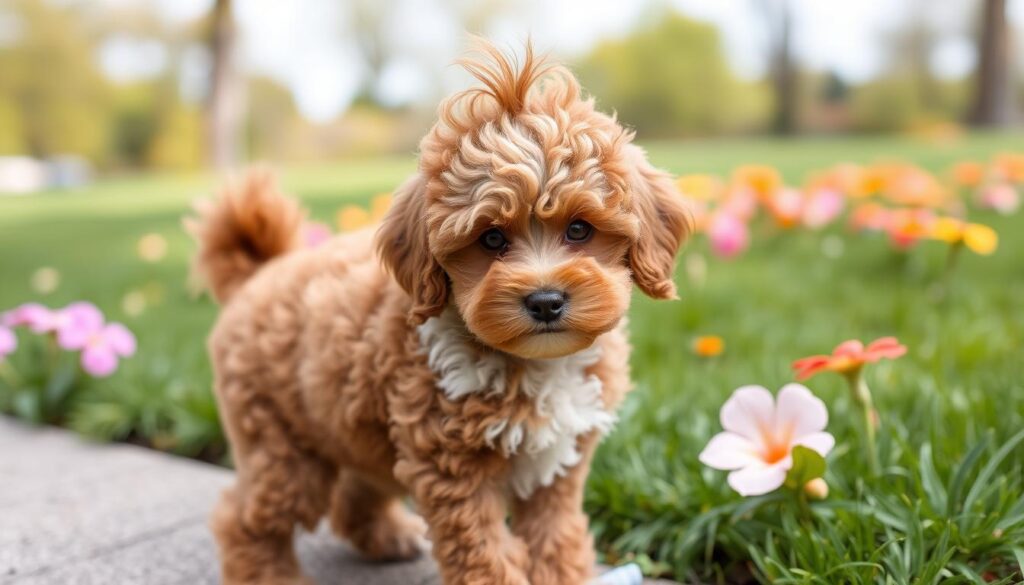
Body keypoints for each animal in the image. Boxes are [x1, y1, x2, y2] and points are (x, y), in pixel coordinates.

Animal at [192, 41, 688, 585]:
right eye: (490, 238)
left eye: (579, 229)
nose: (545, 301)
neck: (532, 364)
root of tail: (261, 272)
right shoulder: (453, 470)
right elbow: (485, 557)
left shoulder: (558, 467)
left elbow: (556, 539)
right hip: (280, 441)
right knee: (247, 518)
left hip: (355, 428)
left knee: (356, 490)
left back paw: (389, 537)